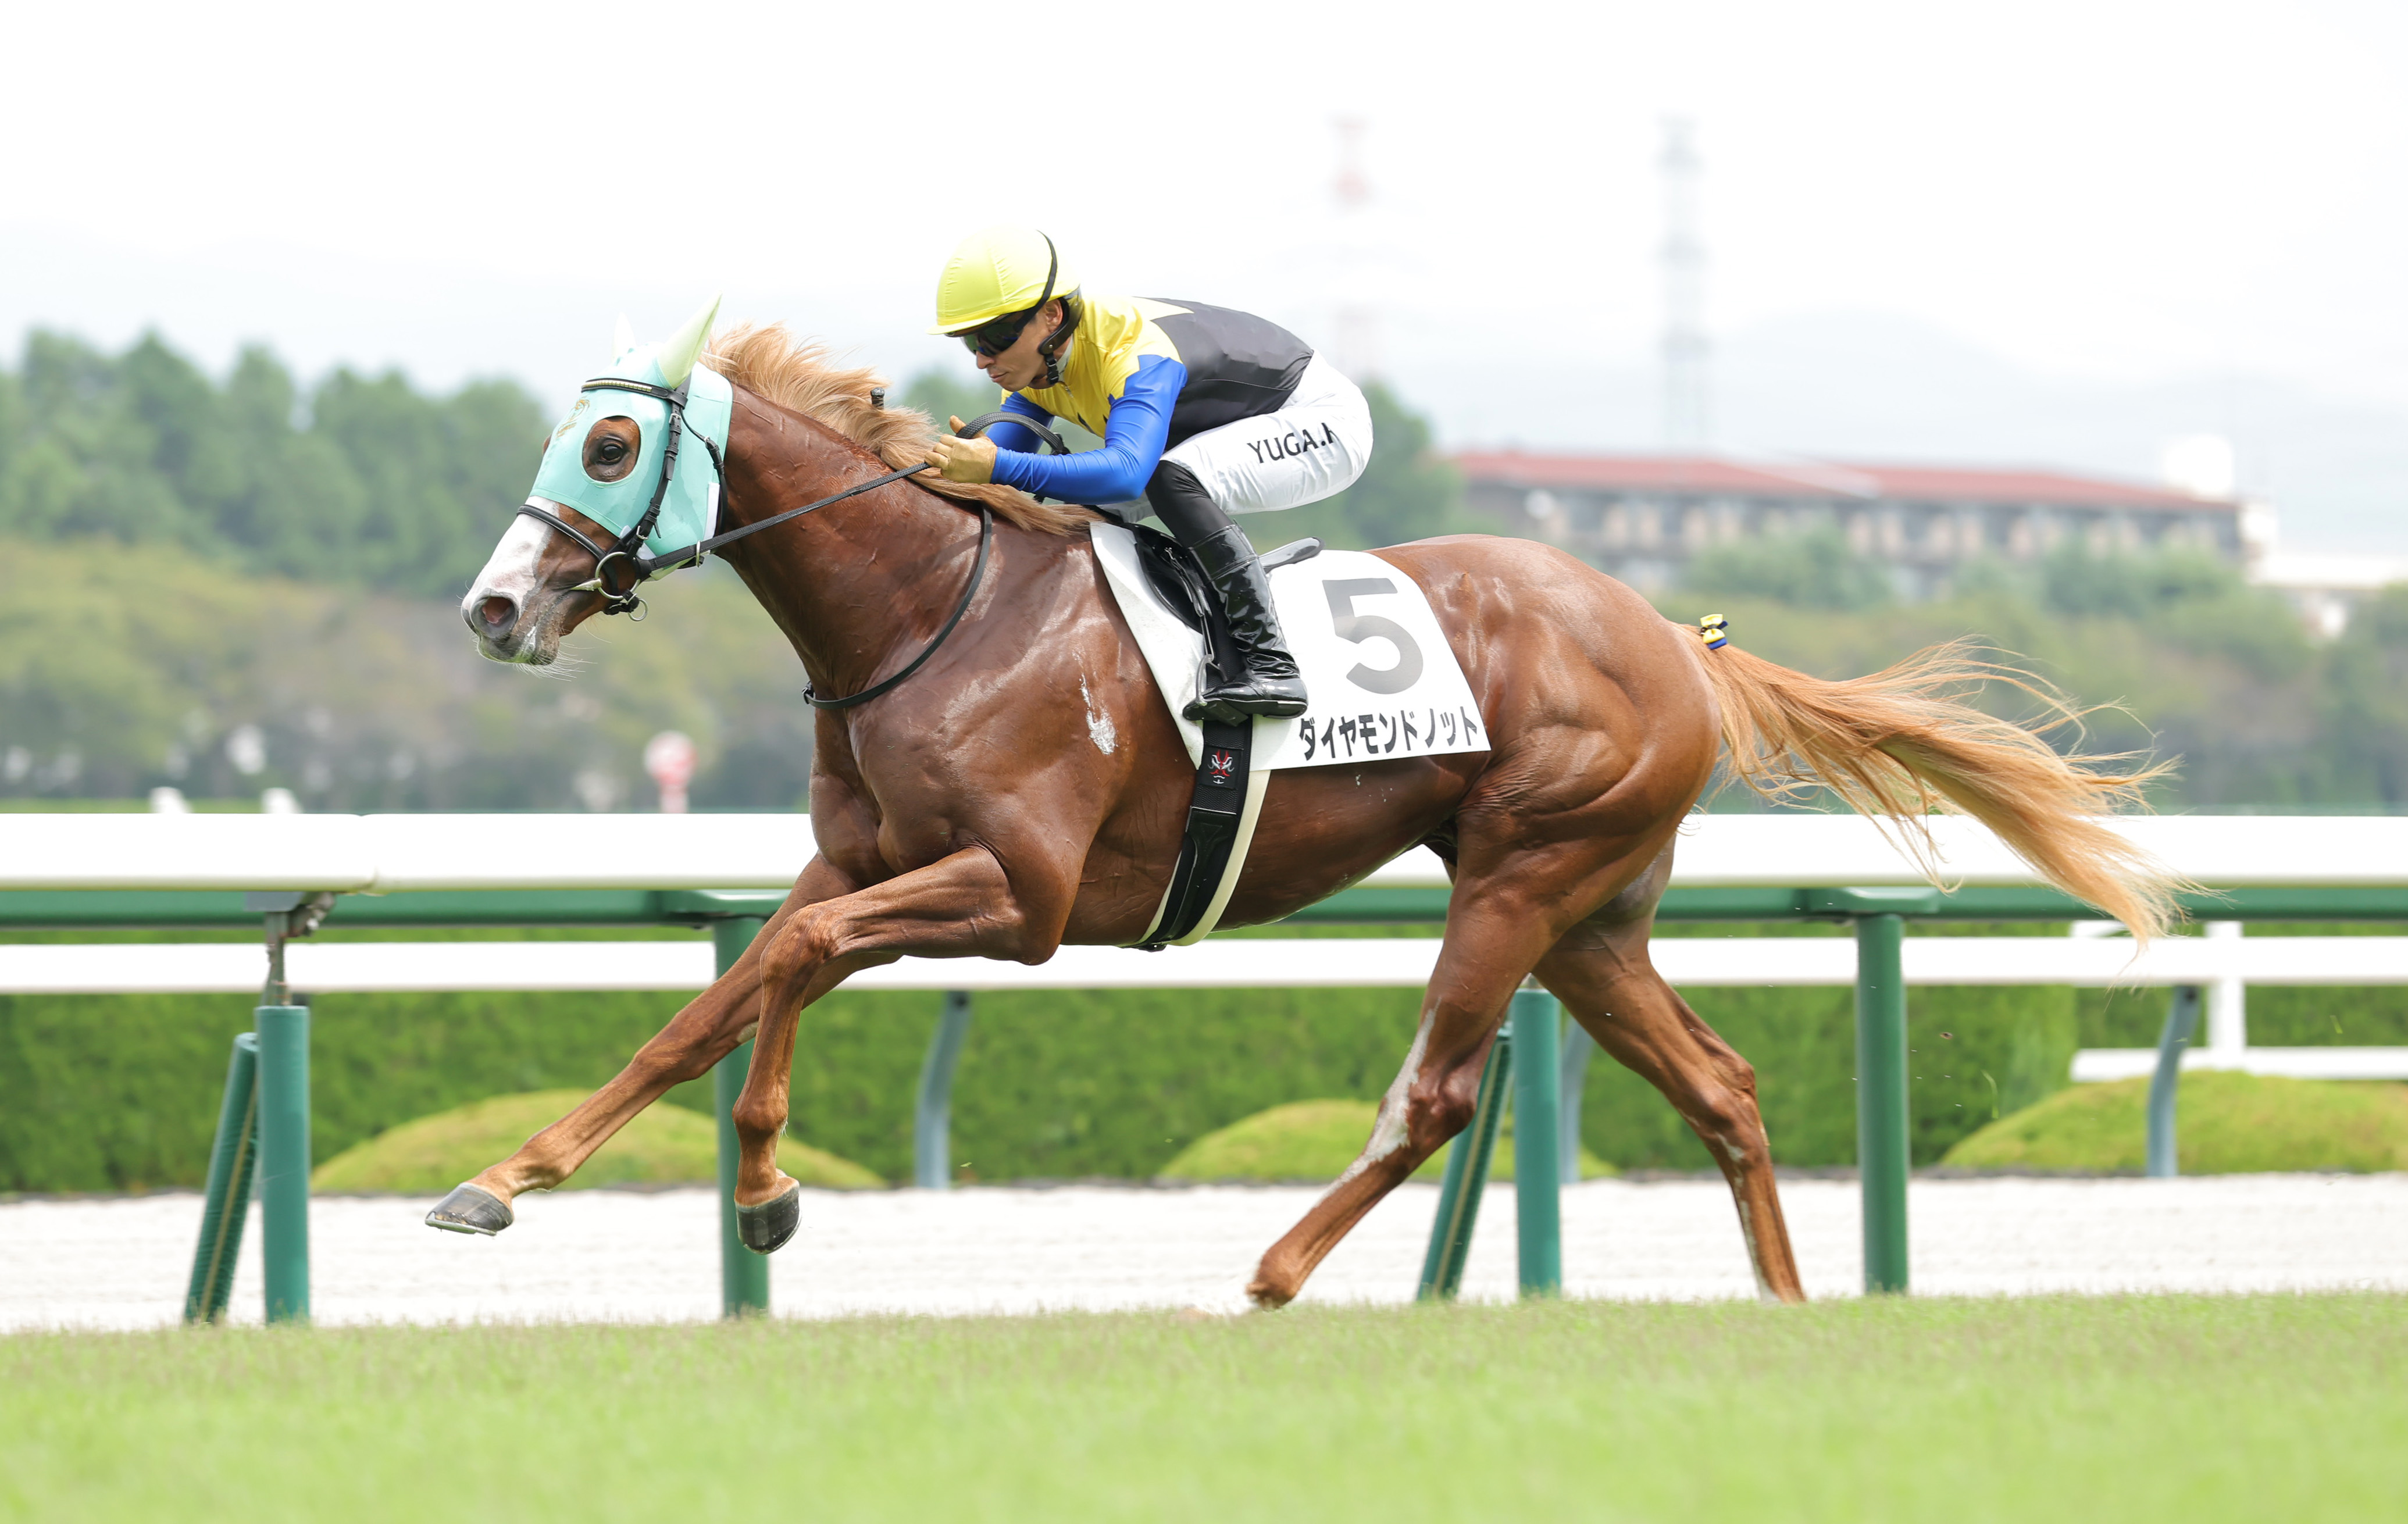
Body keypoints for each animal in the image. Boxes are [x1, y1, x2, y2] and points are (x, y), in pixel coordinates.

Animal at [448, 319, 2175, 1306]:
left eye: (610, 443)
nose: (493, 608)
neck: (934, 610)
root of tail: (1671, 639)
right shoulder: (856, 861)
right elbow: (724, 992)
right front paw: (513, 1177)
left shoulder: (1017, 899)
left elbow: (792, 964)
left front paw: (761, 1191)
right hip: (1588, 914)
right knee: (1722, 1087)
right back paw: (1787, 1309)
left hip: (1524, 873)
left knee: (1438, 1093)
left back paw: (1273, 1272)